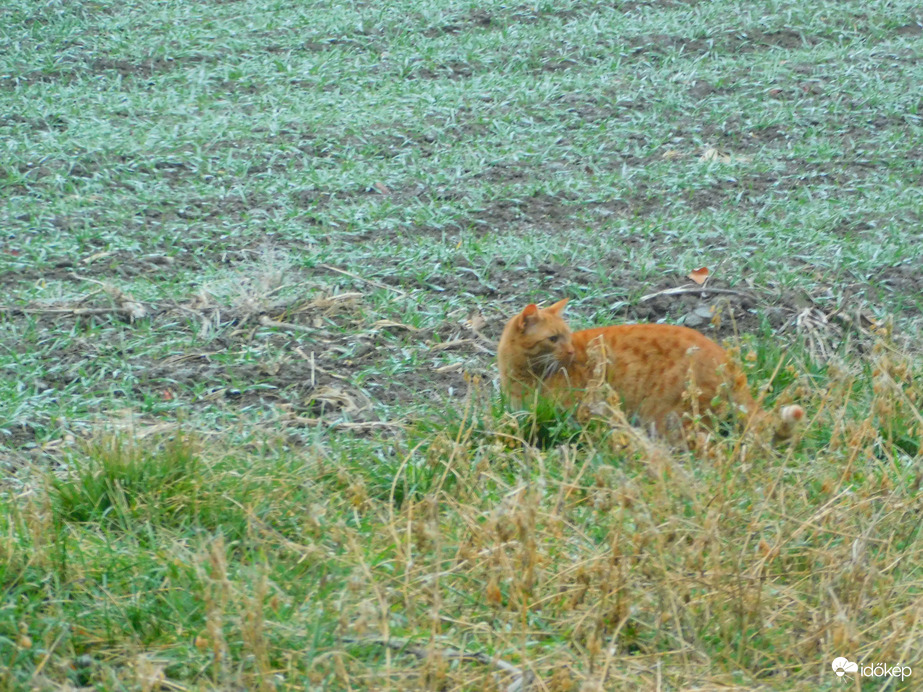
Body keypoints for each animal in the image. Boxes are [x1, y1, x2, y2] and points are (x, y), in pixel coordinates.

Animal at [498, 298, 800, 444]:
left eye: (567, 337)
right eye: (553, 339)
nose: (571, 352)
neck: (522, 374)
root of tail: (726, 358)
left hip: (667, 417)